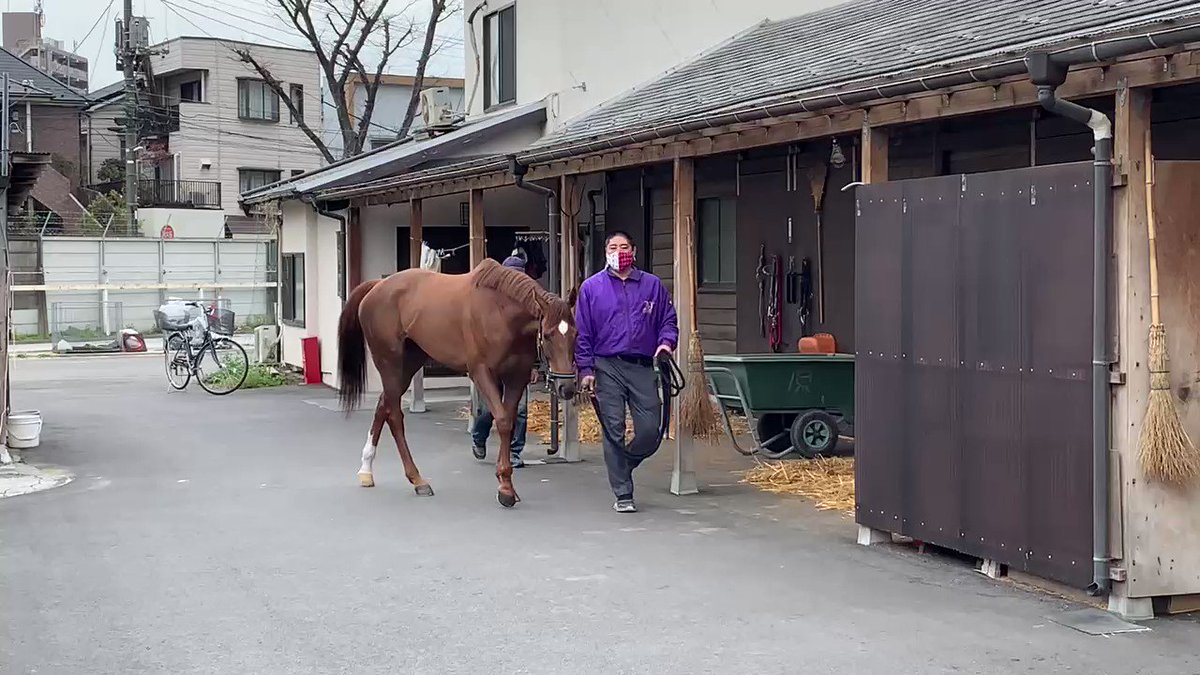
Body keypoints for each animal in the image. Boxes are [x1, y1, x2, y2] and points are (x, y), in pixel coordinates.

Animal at [336, 257, 578, 504]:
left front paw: (506, 480)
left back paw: (366, 470)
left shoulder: (517, 376)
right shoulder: (481, 372)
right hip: (389, 363)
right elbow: (502, 420)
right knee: (393, 415)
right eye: (547, 335)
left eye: (575, 334)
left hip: (409, 363)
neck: (499, 312)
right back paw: (417, 480)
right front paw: (505, 488)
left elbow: (508, 420)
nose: (566, 387)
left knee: (383, 405)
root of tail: (376, 286)